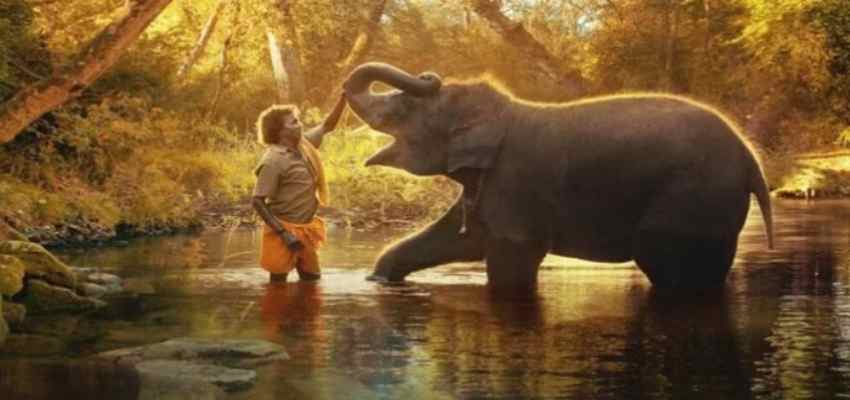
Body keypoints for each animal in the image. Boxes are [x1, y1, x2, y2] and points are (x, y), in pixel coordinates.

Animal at [342, 62, 774, 291]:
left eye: (403, 109)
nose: (430, 74)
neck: (501, 111)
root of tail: (752, 160)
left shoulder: (516, 182)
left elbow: (511, 259)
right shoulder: (491, 185)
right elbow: (460, 239)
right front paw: (378, 280)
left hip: (691, 196)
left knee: (668, 265)